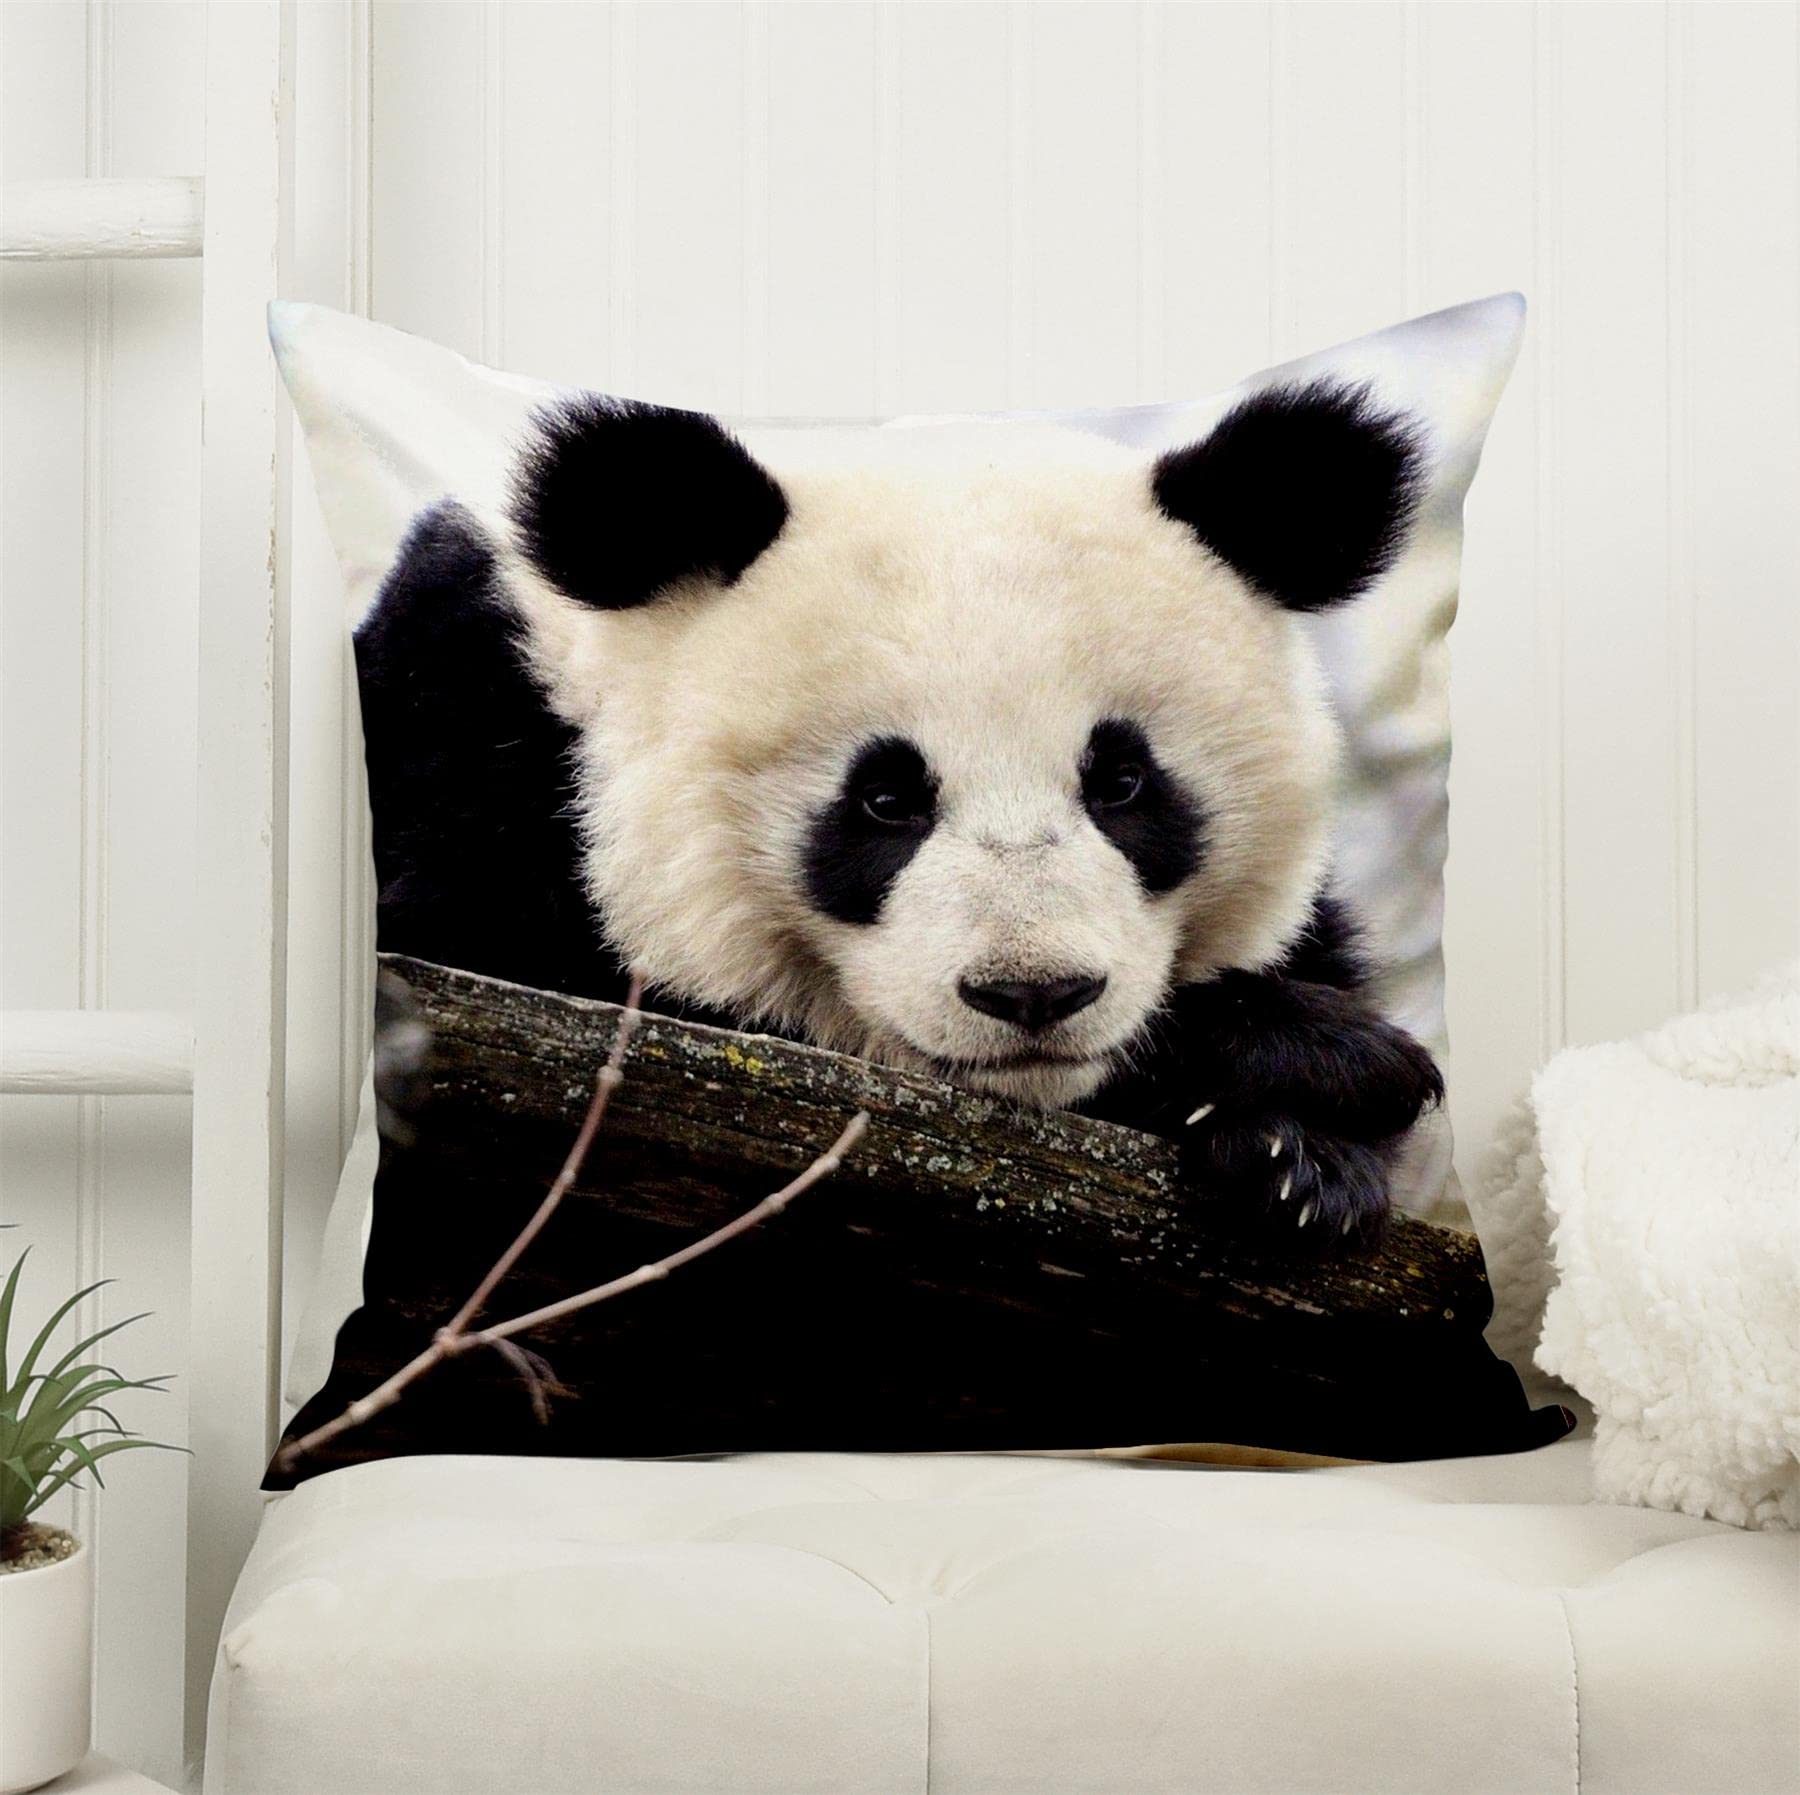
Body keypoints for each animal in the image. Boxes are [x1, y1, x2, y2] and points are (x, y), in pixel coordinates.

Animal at [355, 381, 1444, 1249]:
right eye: (884, 799)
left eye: (1123, 783)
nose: (1033, 995)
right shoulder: (462, 738)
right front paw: (1324, 1057)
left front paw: (1303, 1163)